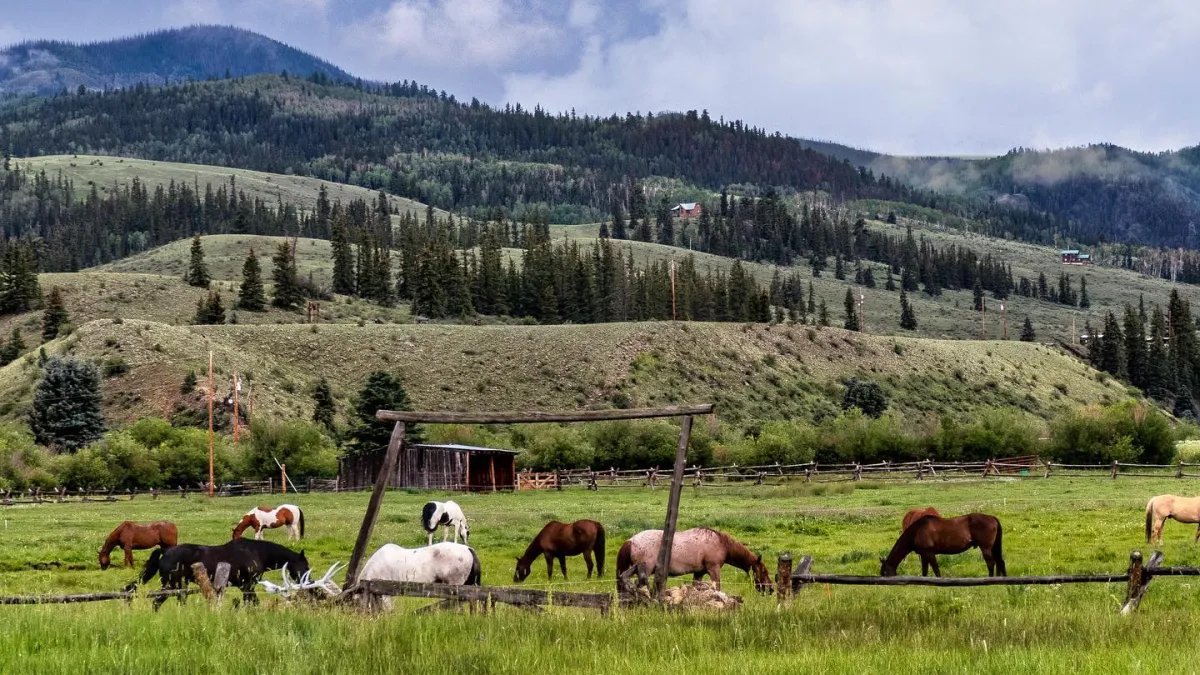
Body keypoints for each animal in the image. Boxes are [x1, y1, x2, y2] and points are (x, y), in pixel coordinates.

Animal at [136, 538, 309, 608]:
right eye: (305, 566)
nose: (309, 582)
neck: (258, 553)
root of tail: (166, 551)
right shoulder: (248, 585)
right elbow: (252, 603)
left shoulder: (246, 587)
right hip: (175, 585)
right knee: (161, 602)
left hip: (173, 586)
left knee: (157, 602)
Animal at [615, 527, 773, 594]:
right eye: (764, 572)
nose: (771, 589)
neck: (721, 543)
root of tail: (630, 541)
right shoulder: (713, 569)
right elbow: (717, 587)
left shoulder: (699, 573)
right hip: (645, 569)